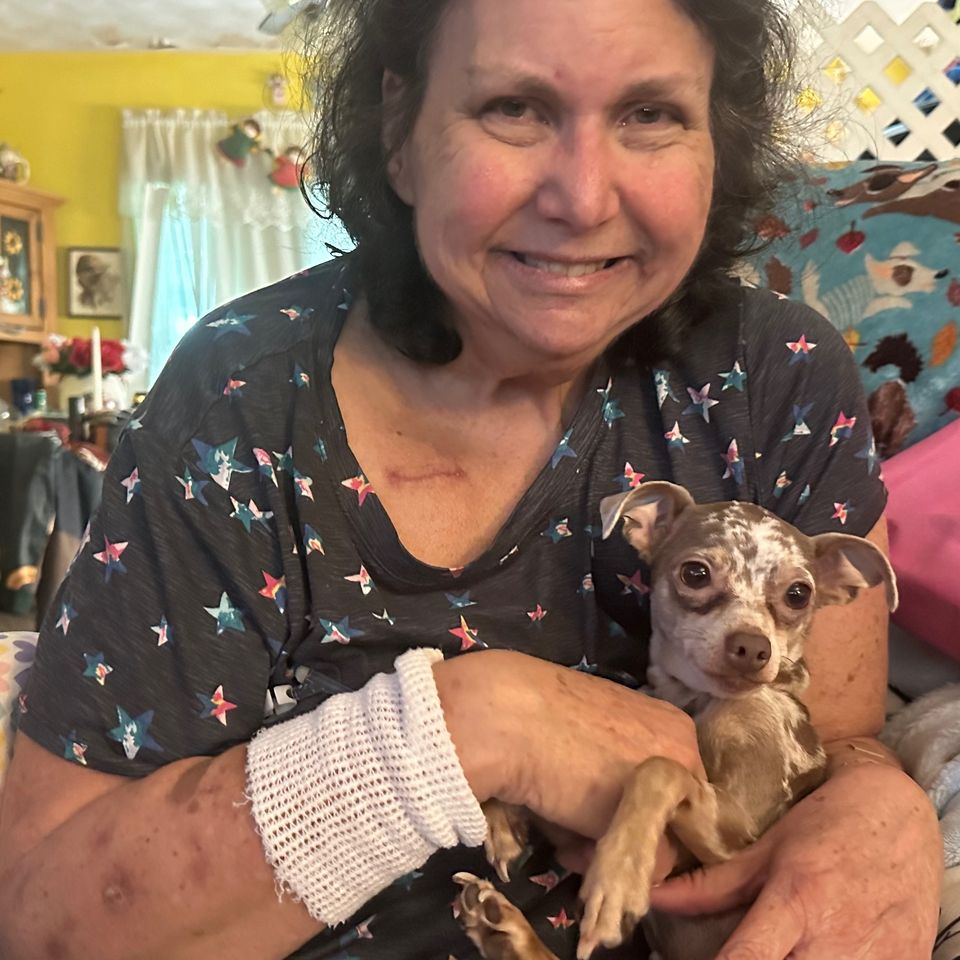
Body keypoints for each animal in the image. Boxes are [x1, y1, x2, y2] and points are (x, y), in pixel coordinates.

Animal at [455, 481, 898, 960]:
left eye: (799, 594)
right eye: (696, 574)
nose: (752, 647)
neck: (698, 701)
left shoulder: (738, 838)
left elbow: (661, 769)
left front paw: (617, 876)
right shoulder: (576, 837)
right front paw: (498, 817)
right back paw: (503, 929)